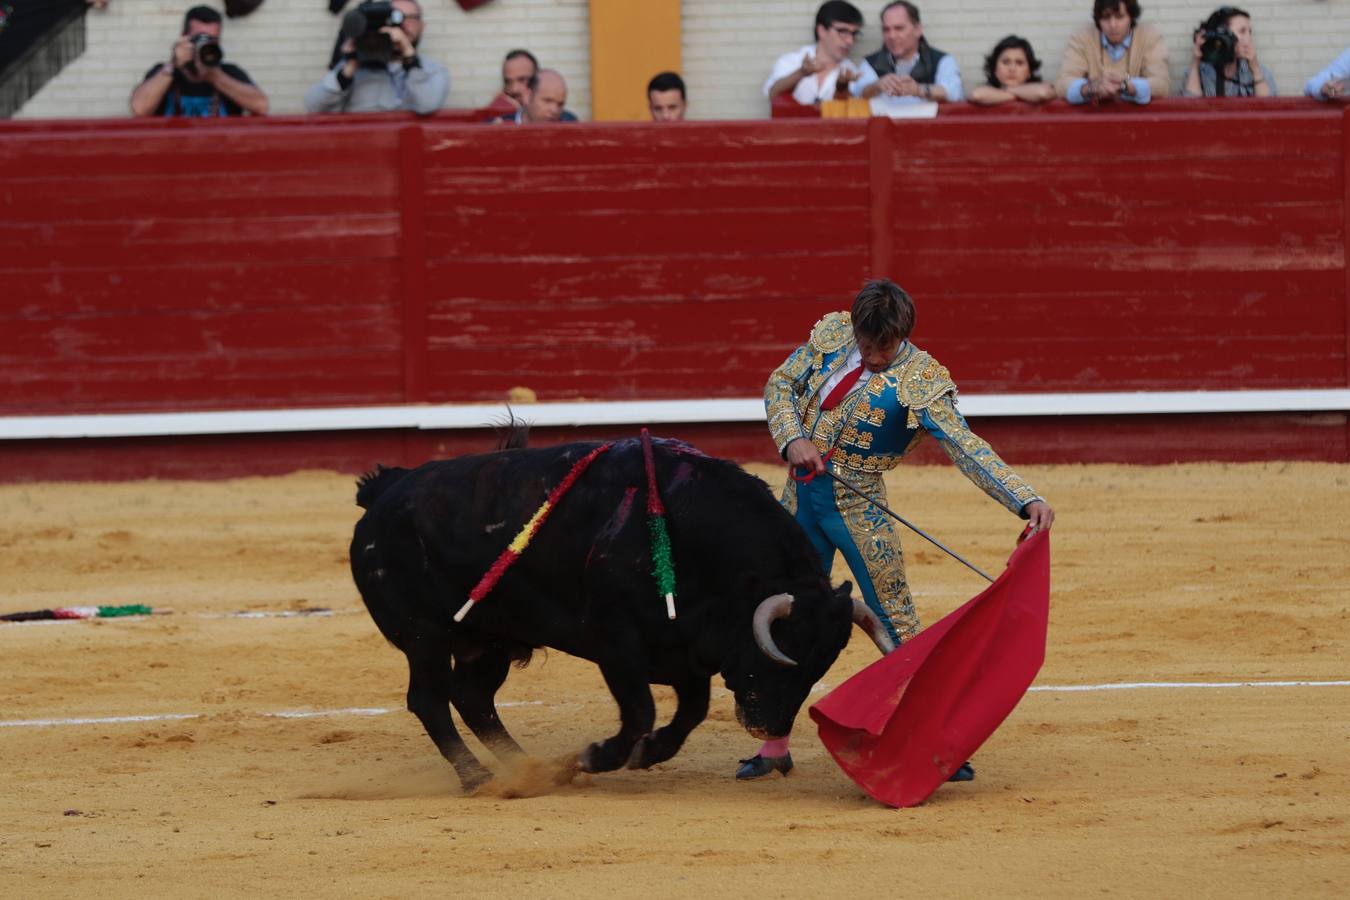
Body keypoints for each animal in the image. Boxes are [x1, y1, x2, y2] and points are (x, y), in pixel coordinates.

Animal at [353, 429, 891, 788]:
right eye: (783, 655)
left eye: (820, 668)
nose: (770, 728)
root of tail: (383, 495)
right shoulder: (617, 645)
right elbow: (641, 711)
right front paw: (597, 756)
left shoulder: (685, 649)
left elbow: (690, 712)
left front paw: (645, 754)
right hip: (424, 635)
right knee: (430, 700)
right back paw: (478, 777)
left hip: (488, 639)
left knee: (472, 697)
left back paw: (531, 768)